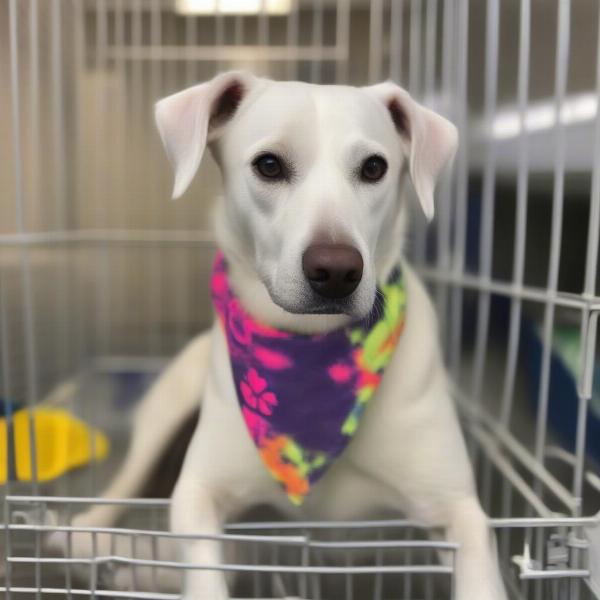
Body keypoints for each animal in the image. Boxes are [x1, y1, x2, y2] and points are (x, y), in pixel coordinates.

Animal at [49, 71, 506, 600]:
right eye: (269, 165)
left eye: (374, 167)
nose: (336, 270)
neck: (310, 359)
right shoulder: (199, 491)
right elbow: (202, 570)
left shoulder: (459, 509)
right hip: (164, 415)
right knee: (123, 491)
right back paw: (83, 538)